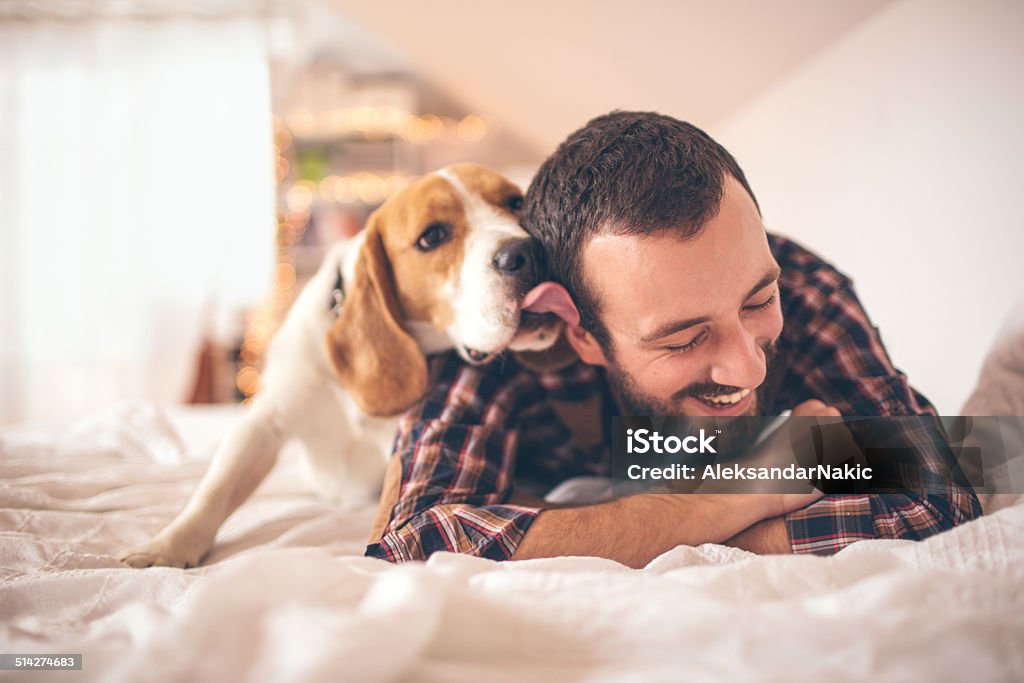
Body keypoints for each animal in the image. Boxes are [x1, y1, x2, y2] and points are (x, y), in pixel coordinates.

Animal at [121, 162, 569, 569]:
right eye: (433, 236)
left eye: (516, 202)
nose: (528, 252)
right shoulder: (264, 421)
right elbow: (217, 488)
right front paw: (168, 545)